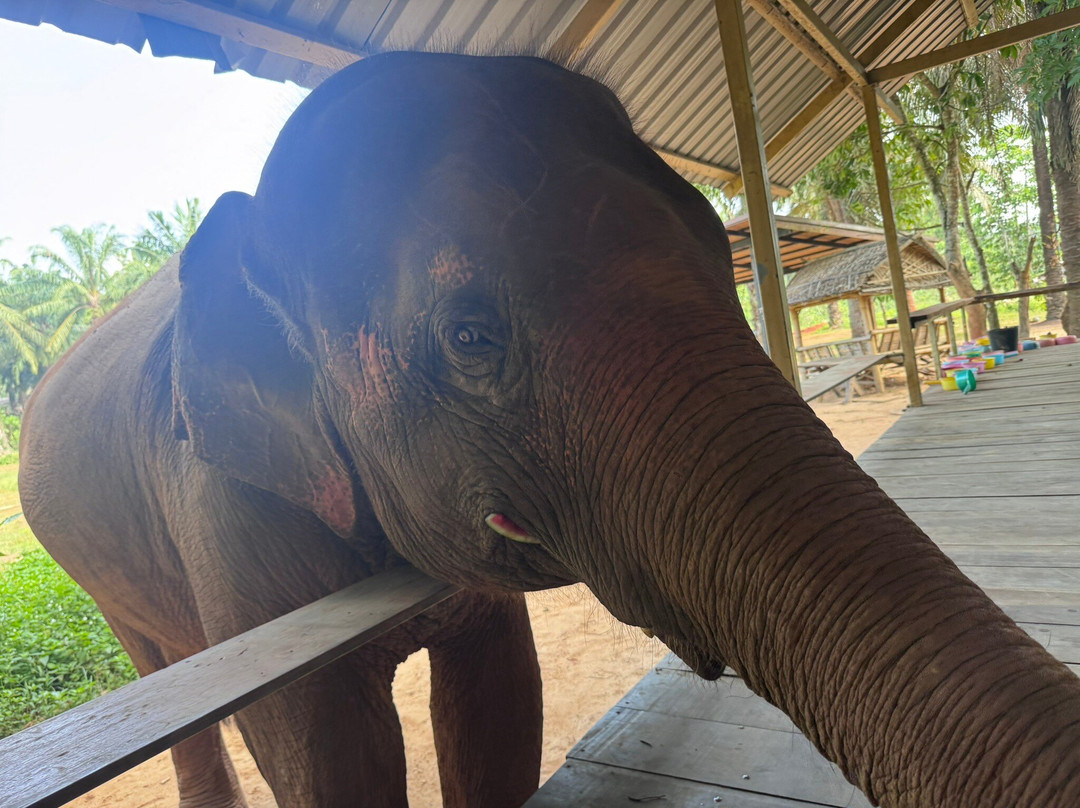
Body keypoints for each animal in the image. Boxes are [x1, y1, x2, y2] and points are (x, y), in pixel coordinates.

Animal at [19, 51, 1080, 808]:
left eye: (719, 255)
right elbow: (328, 756)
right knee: (158, 664)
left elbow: (498, 706)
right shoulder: (228, 518)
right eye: (468, 336)